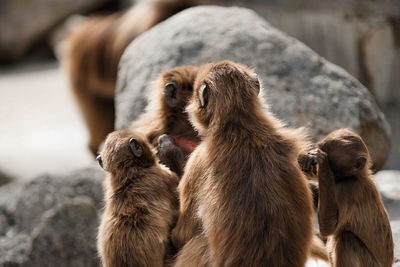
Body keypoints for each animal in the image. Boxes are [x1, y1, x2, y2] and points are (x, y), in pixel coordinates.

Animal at [300, 129, 394, 266]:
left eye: (329, 159)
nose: (314, 163)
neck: (354, 177)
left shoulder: (348, 190)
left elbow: (329, 227)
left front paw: (322, 164)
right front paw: (304, 156)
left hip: (370, 263)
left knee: (346, 239)